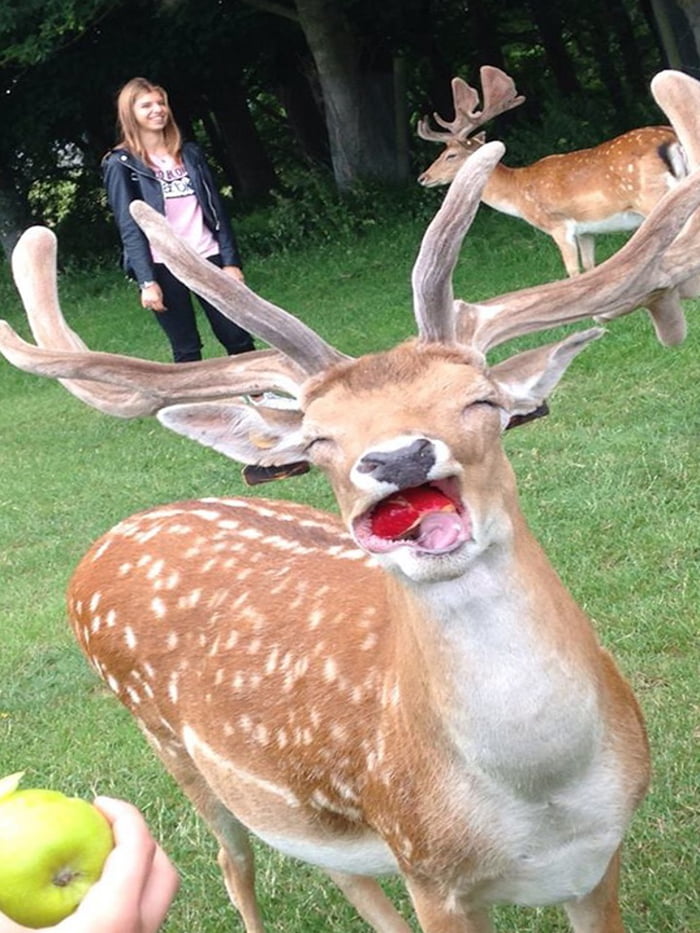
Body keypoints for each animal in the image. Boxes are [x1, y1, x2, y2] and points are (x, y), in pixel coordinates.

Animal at [417, 65, 687, 277]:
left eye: (451, 155)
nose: (423, 178)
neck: (517, 193)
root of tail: (671, 139)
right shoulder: (586, 230)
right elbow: (590, 268)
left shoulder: (559, 225)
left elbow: (573, 271)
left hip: (653, 197)